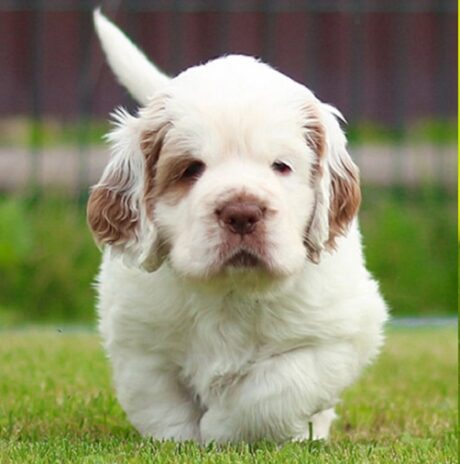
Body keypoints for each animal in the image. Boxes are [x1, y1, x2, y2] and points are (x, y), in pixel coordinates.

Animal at [87, 12, 388, 444]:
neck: (229, 292)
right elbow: (161, 406)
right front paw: (183, 439)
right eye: (190, 169)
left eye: (281, 166)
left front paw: (222, 427)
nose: (242, 212)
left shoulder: (338, 336)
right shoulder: (139, 342)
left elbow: (273, 390)